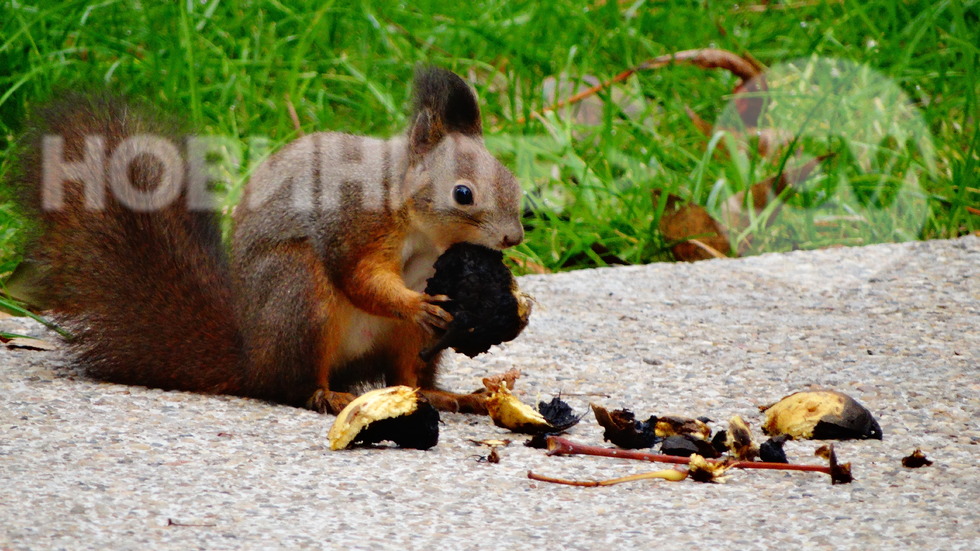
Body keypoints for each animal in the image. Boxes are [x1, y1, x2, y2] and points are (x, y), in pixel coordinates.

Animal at [17, 67, 520, 414]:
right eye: (463, 194)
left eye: (513, 180)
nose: (514, 237)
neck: (411, 213)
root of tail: (253, 359)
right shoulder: (354, 223)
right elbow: (360, 277)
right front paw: (414, 302)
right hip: (299, 297)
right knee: (292, 385)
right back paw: (328, 396)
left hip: (402, 341)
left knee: (410, 378)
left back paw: (447, 395)